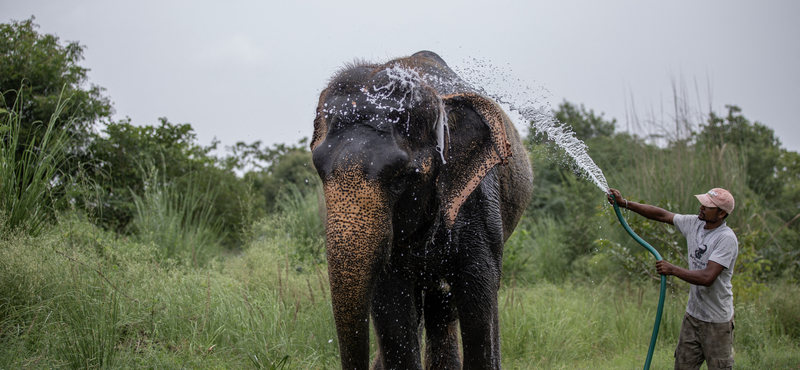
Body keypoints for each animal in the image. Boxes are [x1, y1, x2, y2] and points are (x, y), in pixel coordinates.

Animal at [310, 49, 532, 370]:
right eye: (318, 169)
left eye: (402, 177)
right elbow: (392, 309)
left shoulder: (477, 202)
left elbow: (479, 299)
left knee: (443, 308)